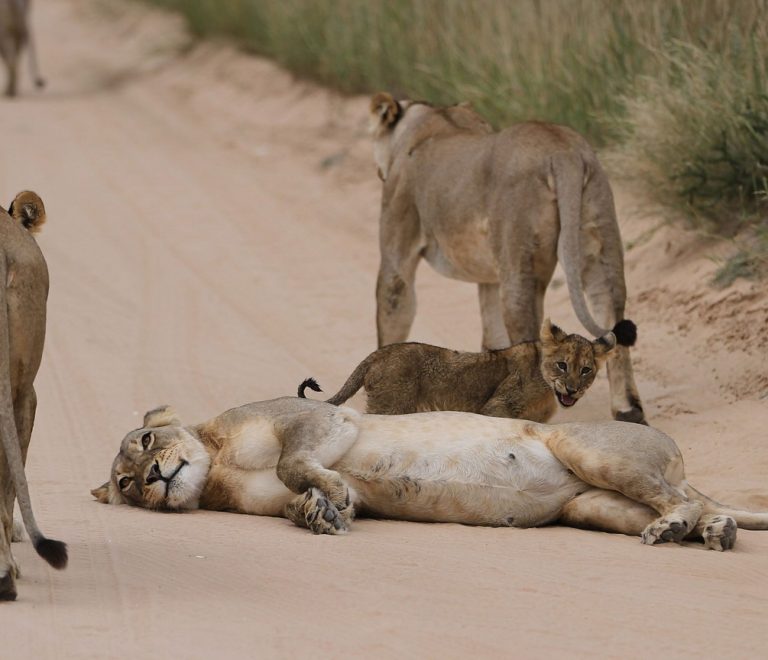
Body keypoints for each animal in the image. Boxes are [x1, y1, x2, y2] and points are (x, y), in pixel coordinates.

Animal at [299, 319, 635, 422]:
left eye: (586, 370)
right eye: (562, 365)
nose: (572, 389)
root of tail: (378, 353)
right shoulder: (496, 407)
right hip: (390, 405)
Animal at [370, 92, 644, 424]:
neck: (433, 119)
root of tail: (562, 149)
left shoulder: (398, 252)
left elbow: (392, 313)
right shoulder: (490, 277)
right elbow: (493, 337)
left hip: (520, 263)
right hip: (600, 235)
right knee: (611, 314)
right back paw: (629, 411)